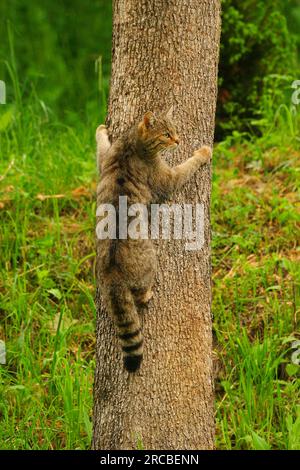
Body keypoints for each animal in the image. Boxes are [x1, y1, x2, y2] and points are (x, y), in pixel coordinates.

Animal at [96, 109, 211, 370]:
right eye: (166, 134)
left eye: (175, 130)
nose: (178, 140)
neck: (132, 144)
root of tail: (112, 274)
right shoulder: (168, 179)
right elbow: (187, 165)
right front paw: (203, 153)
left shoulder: (104, 160)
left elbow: (101, 146)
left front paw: (101, 129)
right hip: (150, 262)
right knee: (140, 295)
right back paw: (147, 294)